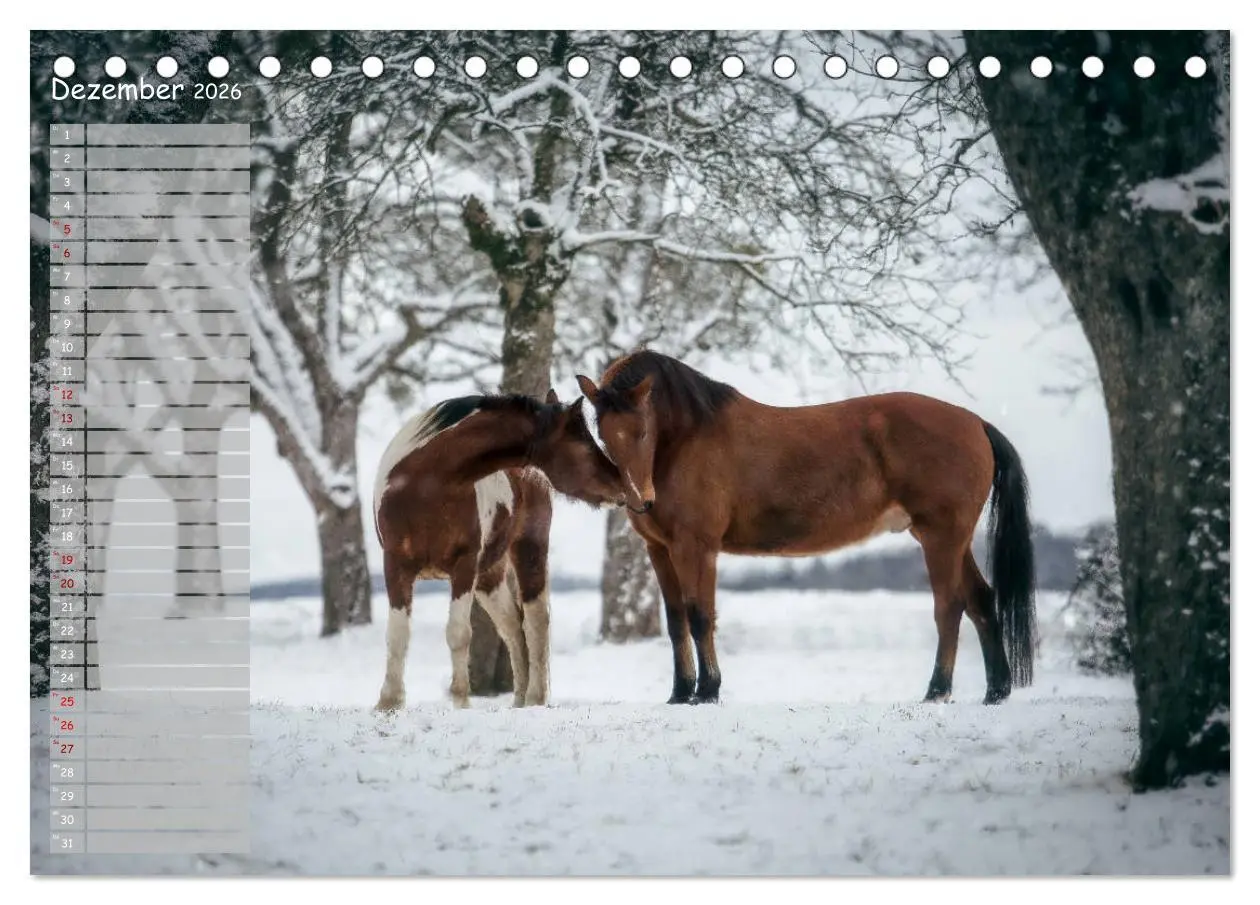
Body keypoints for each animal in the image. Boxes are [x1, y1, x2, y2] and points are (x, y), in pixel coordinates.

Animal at [372, 390, 625, 711]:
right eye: (583, 444)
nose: (622, 485)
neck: (426, 484)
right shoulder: (396, 565)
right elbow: (397, 635)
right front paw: (389, 702)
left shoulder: (464, 566)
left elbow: (458, 633)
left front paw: (461, 701)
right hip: (489, 577)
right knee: (512, 627)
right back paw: (518, 699)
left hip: (528, 550)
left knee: (535, 621)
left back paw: (534, 698)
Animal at [576, 350, 1037, 706]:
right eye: (603, 433)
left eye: (643, 430)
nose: (640, 499)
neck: (685, 440)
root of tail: (975, 423)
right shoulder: (660, 550)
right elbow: (676, 623)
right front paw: (680, 692)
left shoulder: (697, 547)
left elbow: (700, 616)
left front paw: (707, 691)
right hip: (950, 539)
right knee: (981, 601)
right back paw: (996, 691)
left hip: (942, 537)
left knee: (950, 607)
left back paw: (937, 691)